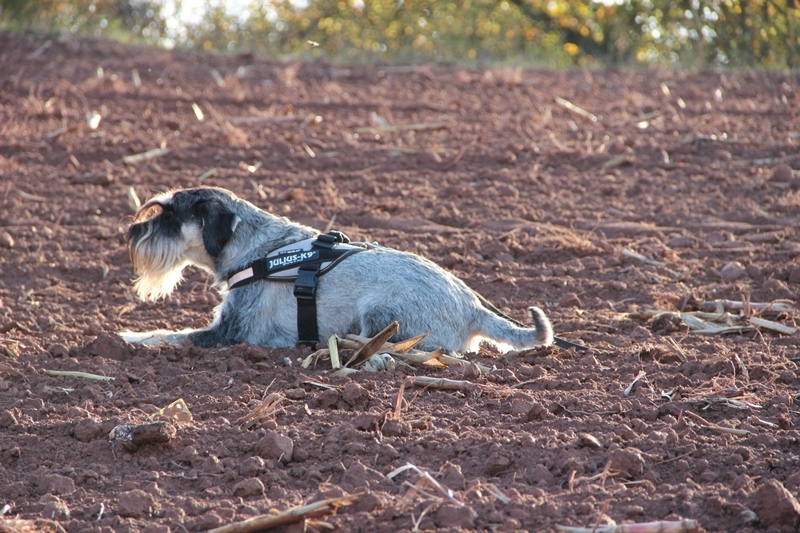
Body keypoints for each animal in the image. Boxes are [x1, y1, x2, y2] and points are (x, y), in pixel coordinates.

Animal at [120, 187, 556, 354]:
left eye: (170, 214)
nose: (132, 230)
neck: (256, 245)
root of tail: (473, 307)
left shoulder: (228, 333)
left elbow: (169, 335)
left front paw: (128, 337)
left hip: (381, 312)